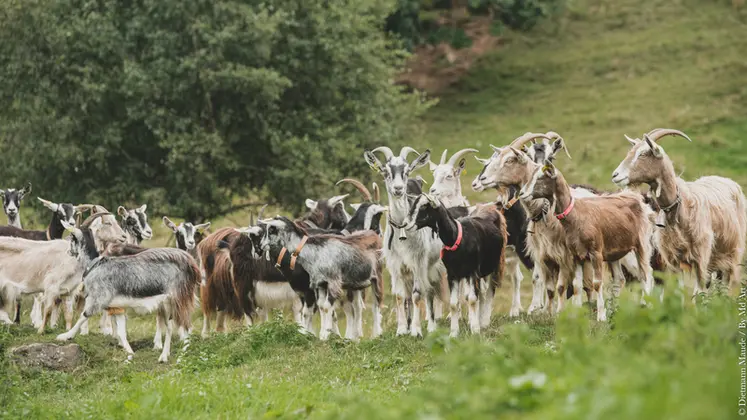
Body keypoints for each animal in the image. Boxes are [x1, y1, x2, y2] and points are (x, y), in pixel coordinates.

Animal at [55, 219, 200, 363]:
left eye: (72, 238)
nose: (68, 251)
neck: (94, 265)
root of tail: (190, 263)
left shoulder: (98, 299)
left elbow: (83, 315)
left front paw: (65, 336)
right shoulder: (117, 307)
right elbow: (121, 332)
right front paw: (130, 353)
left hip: (178, 297)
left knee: (186, 326)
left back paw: (181, 356)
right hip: (168, 303)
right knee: (170, 326)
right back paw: (164, 356)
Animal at [364, 146, 447, 337]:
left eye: (407, 171)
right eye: (385, 172)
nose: (398, 188)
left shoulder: (418, 262)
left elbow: (417, 294)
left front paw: (416, 330)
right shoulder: (396, 265)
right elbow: (400, 295)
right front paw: (402, 329)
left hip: (432, 266)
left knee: (430, 290)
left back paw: (432, 325)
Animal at [405, 194, 507, 336]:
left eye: (424, 206)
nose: (405, 223)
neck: (458, 237)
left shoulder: (472, 271)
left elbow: (472, 299)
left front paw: (475, 330)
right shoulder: (452, 274)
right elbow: (454, 303)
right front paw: (454, 332)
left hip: (496, 265)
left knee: (490, 291)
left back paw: (484, 322)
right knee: (481, 293)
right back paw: (479, 320)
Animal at [520, 159, 655, 321]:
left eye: (541, 177)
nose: (521, 193)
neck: (576, 214)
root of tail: (637, 199)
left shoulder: (595, 253)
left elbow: (597, 283)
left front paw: (601, 316)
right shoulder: (577, 255)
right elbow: (577, 284)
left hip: (642, 245)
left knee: (646, 274)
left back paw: (648, 305)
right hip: (615, 252)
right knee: (620, 279)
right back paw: (614, 310)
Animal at [612, 128, 747, 297]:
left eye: (642, 153)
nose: (615, 175)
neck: (679, 207)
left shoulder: (701, 258)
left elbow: (699, 293)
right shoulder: (673, 261)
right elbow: (679, 292)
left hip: (733, 253)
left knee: (728, 283)